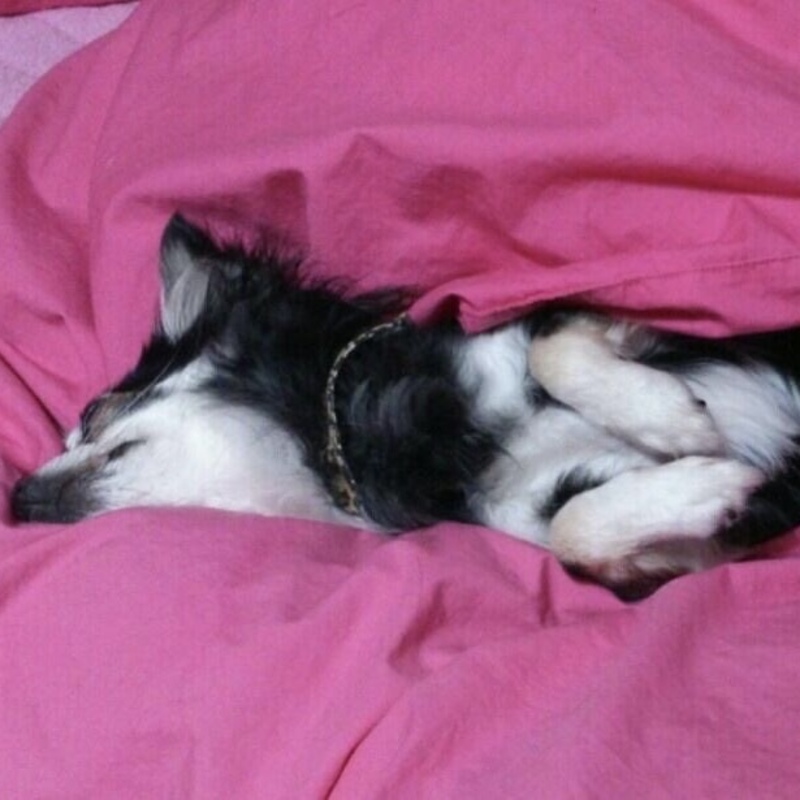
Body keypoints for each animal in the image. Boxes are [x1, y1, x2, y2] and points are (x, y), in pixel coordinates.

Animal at [12, 214, 800, 598]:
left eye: (94, 416)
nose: (15, 499)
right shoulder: (553, 520)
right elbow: (577, 531)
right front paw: (708, 486)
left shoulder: (623, 321)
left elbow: (553, 342)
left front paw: (673, 418)